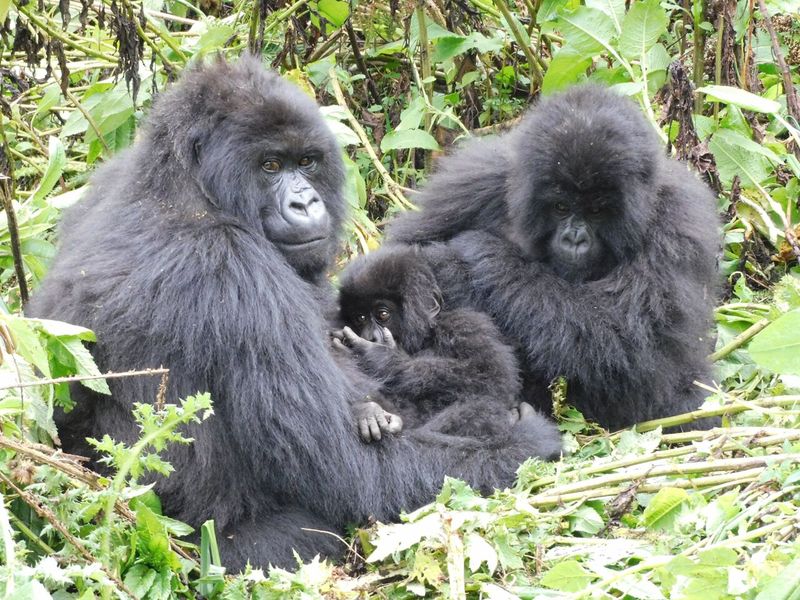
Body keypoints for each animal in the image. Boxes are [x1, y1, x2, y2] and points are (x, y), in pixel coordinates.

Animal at [332, 246, 556, 448]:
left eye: (383, 314)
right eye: (360, 318)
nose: (370, 336)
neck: (426, 336)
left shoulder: (464, 324)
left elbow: (494, 376)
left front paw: (381, 358)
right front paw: (367, 411)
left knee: (483, 405)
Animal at [388, 84, 720, 432]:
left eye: (596, 211)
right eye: (561, 207)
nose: (575, 238)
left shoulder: (677, 221)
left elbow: (627, 339)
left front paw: (476, 257)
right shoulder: (473, 183)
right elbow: (400, 254)